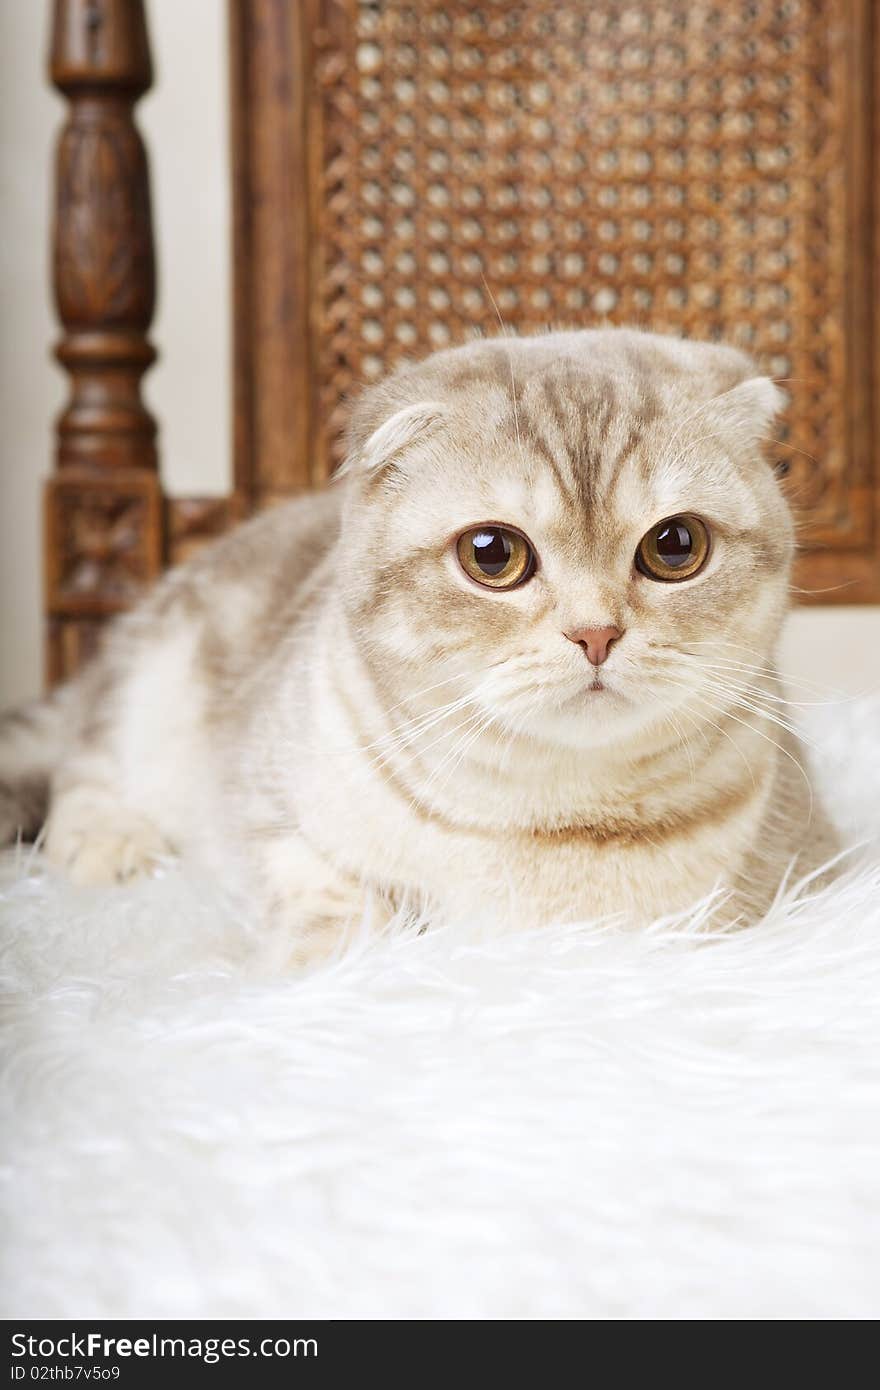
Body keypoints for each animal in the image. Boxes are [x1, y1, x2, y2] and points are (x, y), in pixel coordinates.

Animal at [0, 326, 839, 961]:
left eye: (675, 546)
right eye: (493, 555)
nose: (595, 631)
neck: (560, 826)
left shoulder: (803, 868)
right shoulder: (269, 810)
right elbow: (328, 894)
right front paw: (332, 961)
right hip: (156, 683)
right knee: (85, 760)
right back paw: (108, 841)